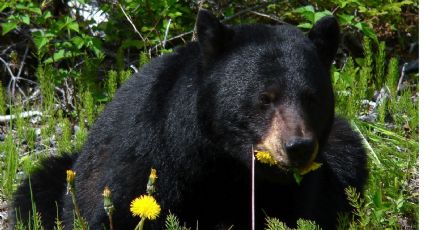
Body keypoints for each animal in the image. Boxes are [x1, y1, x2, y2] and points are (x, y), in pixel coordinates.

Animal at [12, 9, 364, 229]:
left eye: (312, 98)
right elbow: (116, 211)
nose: (298, 147)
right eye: (265, 97)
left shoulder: (293, 191)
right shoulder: (146, 157)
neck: (219, 160)